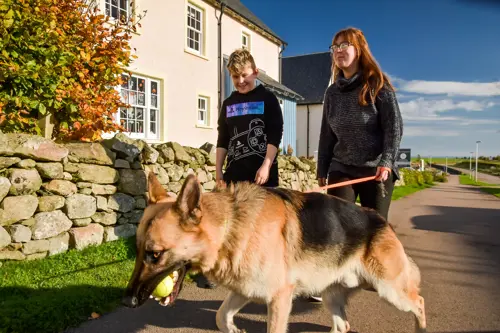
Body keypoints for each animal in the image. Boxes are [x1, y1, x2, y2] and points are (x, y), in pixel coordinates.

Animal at [122, 171, 426, 332]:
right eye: (138, 251)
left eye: (155, 254)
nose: (126, 302)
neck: (230, 226)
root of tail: (381, 220)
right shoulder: (244, 290)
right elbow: (220, 316)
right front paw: (234, 329)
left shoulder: (279, 299)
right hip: (332, 295)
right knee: (343, 326)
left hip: (390, 290)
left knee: (419, 303)